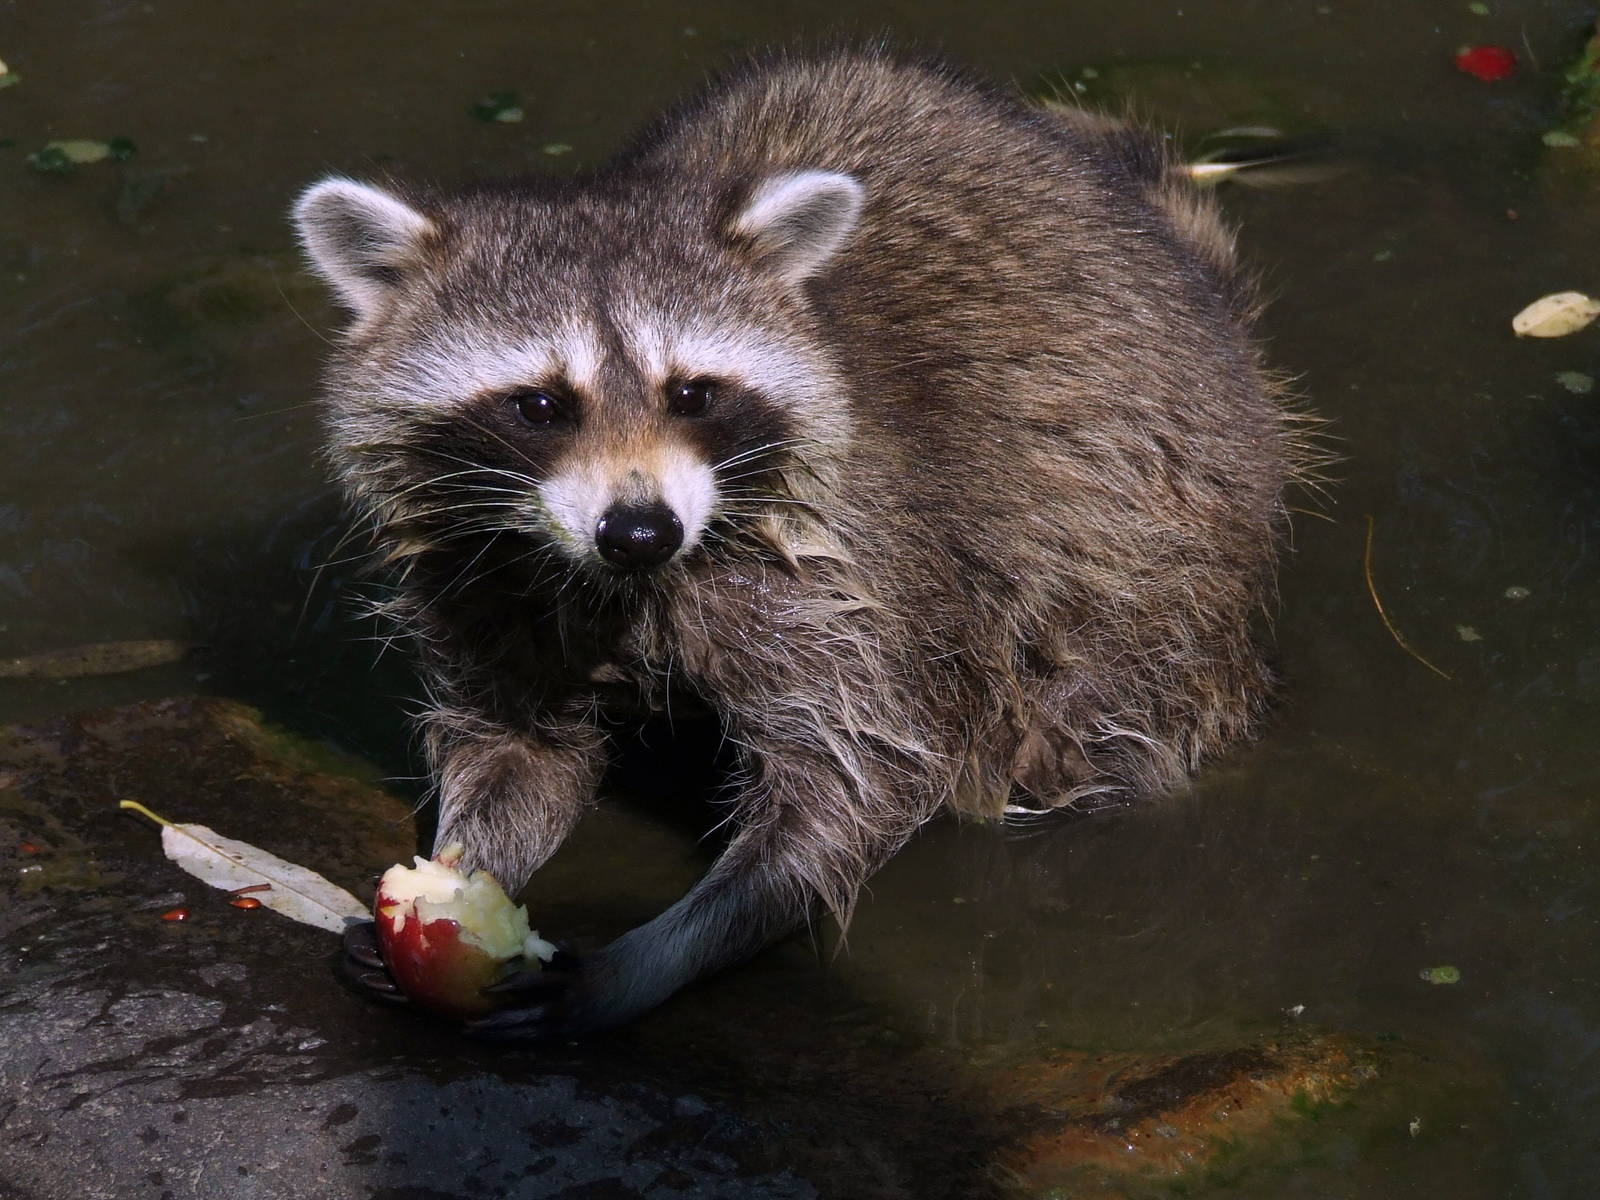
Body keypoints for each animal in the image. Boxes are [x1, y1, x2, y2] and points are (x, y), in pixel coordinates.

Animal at [293, 47, 1300, 1034]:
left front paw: (652, 956)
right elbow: (515, 749)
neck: (629, 581)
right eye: (540, 405)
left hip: (1150, 567)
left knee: (1088, 713)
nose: (641, 531)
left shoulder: (848, 560)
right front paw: (466, 866)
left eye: (691, 393)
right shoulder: (482, 569)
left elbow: (854, 783)